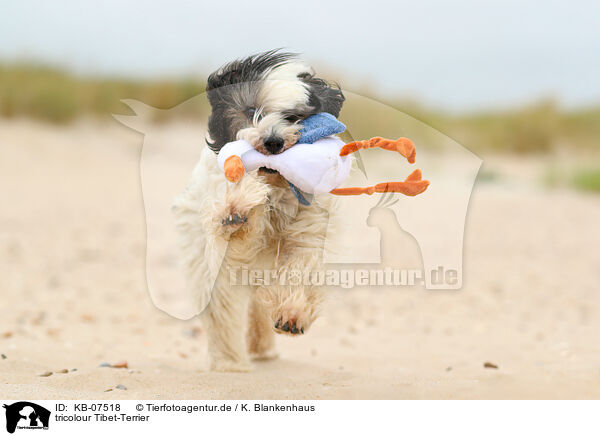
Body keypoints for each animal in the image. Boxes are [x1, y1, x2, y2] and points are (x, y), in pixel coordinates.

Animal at [171, 50, 344, 372]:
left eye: (293, 116)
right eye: (252, 109)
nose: (273, 141)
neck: (273, 186)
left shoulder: (309, 227)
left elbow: (301, 265)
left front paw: (292, 313)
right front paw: (238, 207)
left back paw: (263, 347)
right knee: (221, 310)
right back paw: (229, 361)